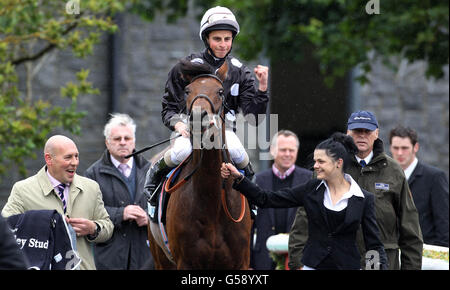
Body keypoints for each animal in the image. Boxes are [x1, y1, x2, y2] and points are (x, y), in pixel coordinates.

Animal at [148, 59, 253, 270]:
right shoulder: (186, 262)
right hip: (161, 259)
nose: (198, 116)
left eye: (220, 91)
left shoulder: (240, 262)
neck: (213, 203)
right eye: (187, 90)